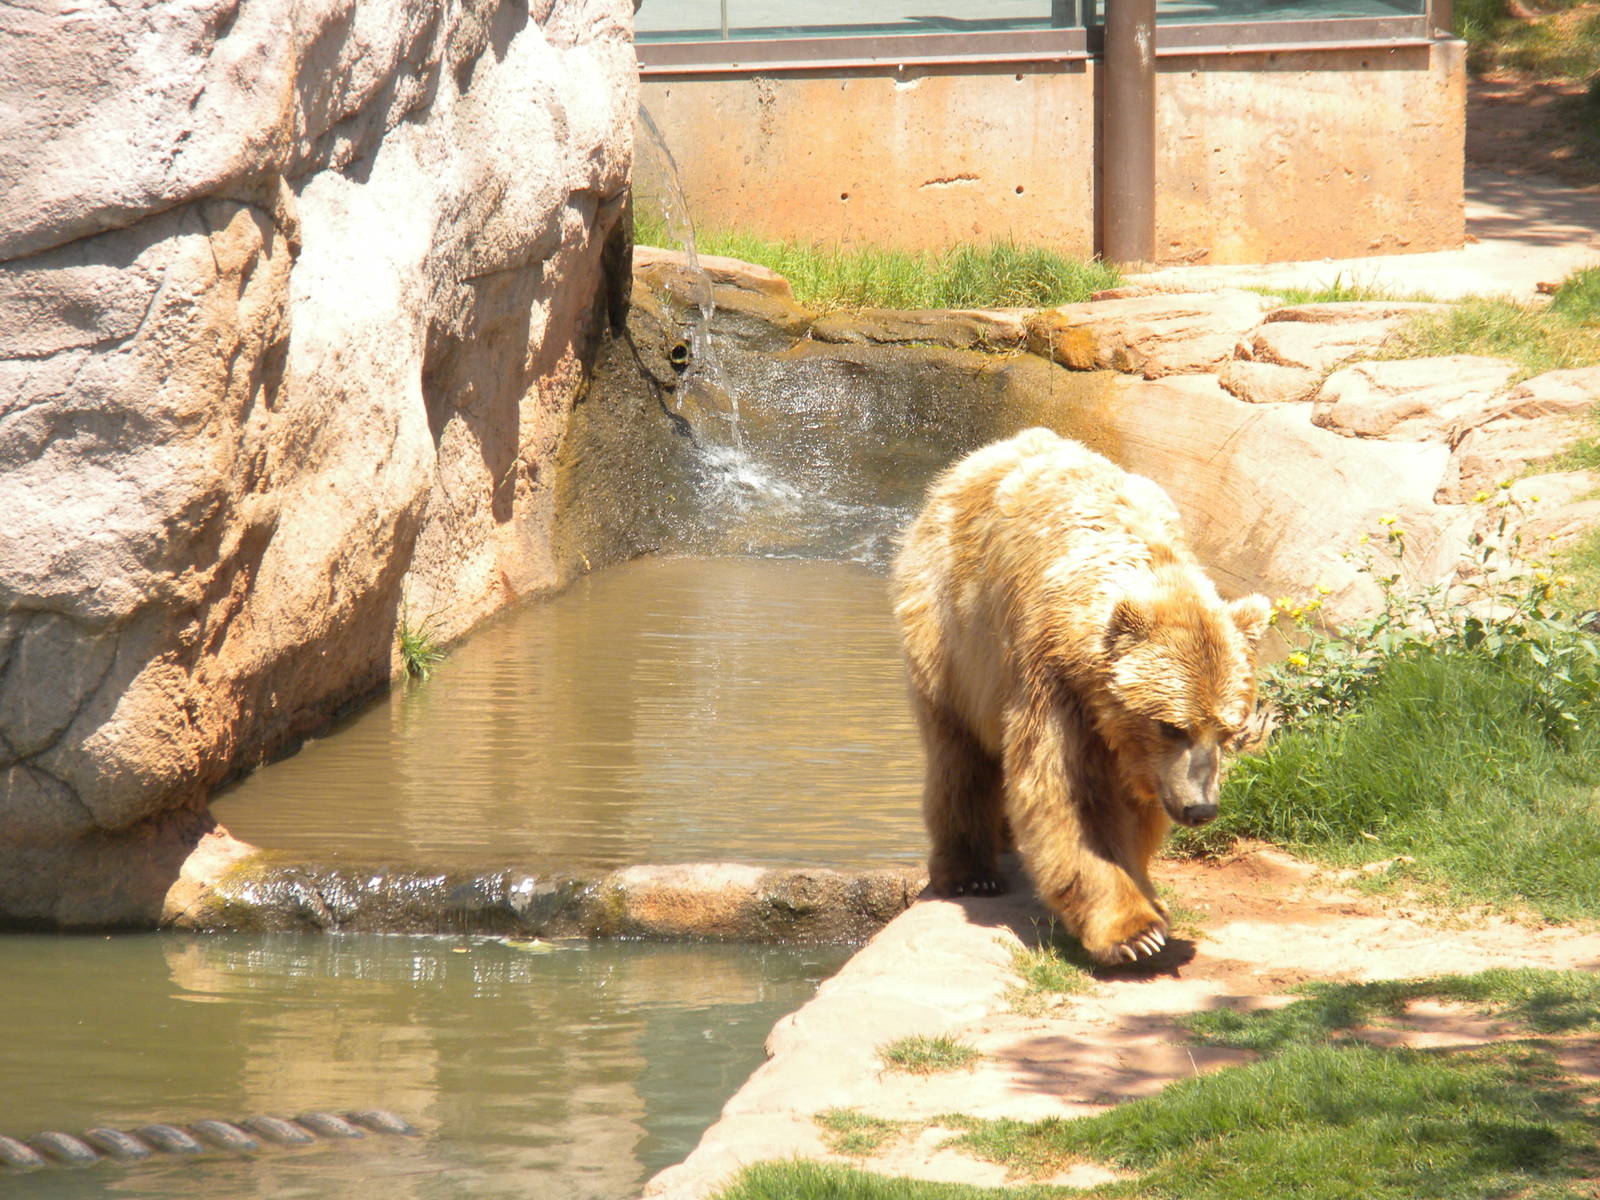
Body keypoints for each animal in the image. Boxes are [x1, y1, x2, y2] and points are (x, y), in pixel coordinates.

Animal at [889, 428, 1271, 965]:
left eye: (1229, 731)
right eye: (1173, 726)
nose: (1201, 809)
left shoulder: (1134, 747)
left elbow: (1136, 811)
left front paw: (1150, 899)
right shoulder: (1052, 679)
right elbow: (1067, 793)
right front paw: (1134, 933)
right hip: (950, 633)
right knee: (958, 752)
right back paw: (971, 872)